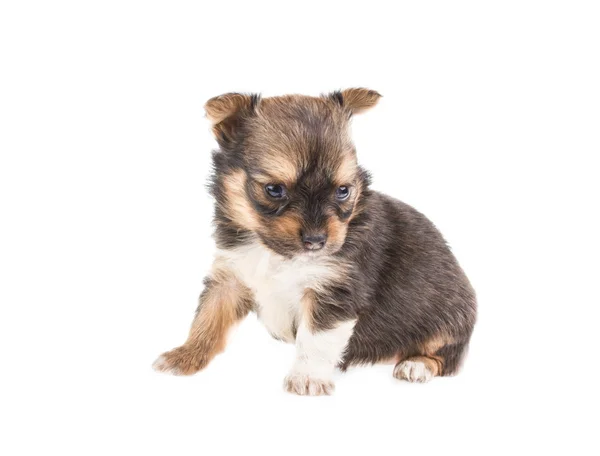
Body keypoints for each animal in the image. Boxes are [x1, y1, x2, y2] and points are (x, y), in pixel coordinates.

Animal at [155, 89, 478, 396]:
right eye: (274, 189)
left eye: (343, 191)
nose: (316, 241)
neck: (274, 252)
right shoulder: (230, 276)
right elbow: (208, 319)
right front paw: (185, 356)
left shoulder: (333, 292)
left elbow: (316, 340)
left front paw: (307, 378)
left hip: (451, 318)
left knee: (446, 357)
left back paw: (416, 365)